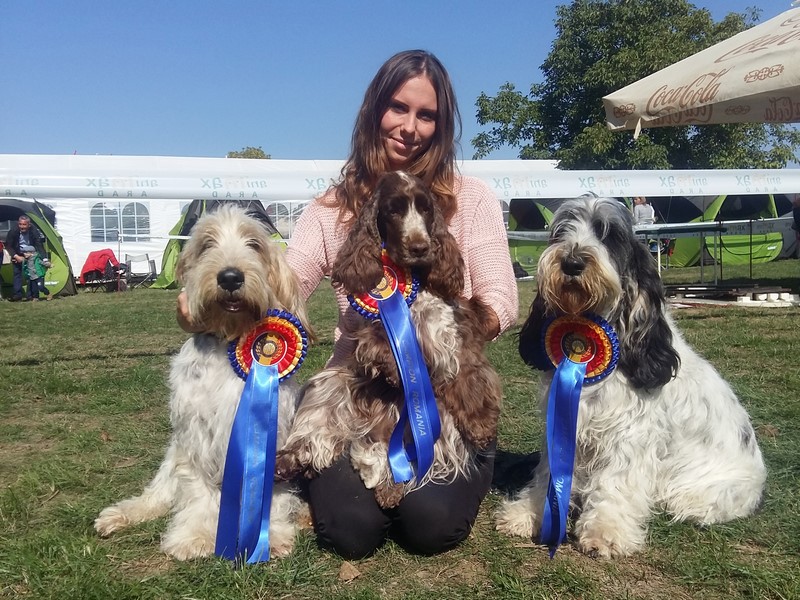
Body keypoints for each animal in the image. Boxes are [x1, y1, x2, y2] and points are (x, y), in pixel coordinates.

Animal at [95, 206, 310, 560]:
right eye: (207, 244)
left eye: (254, 244)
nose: (230, 277)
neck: (230, 342)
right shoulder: (196, 436)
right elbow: (197, 490)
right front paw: (194, 537)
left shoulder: (274, 437)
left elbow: (274, 493)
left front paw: (273, 536)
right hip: (173, 453)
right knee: (158, 494)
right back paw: (120, 515)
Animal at [274, 171, 502, 508]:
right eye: (393, 210)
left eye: (426, 209)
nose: (420, 247)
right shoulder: (374, 330)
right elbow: (378, 346)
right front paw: (393, 371)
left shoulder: (452, 338)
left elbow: (470, 380)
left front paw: (481, 426)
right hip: (335, 381)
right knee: (328, 431)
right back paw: (291, 461)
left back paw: (388, 485)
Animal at [495, 196, 766, 558]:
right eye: (560, 232)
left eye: (609, 235)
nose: (571, 262)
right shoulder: (564, 423)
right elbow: (548, 474)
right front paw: (528, 514)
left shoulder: (628, 434)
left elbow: (615, 483)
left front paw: (605, 532)